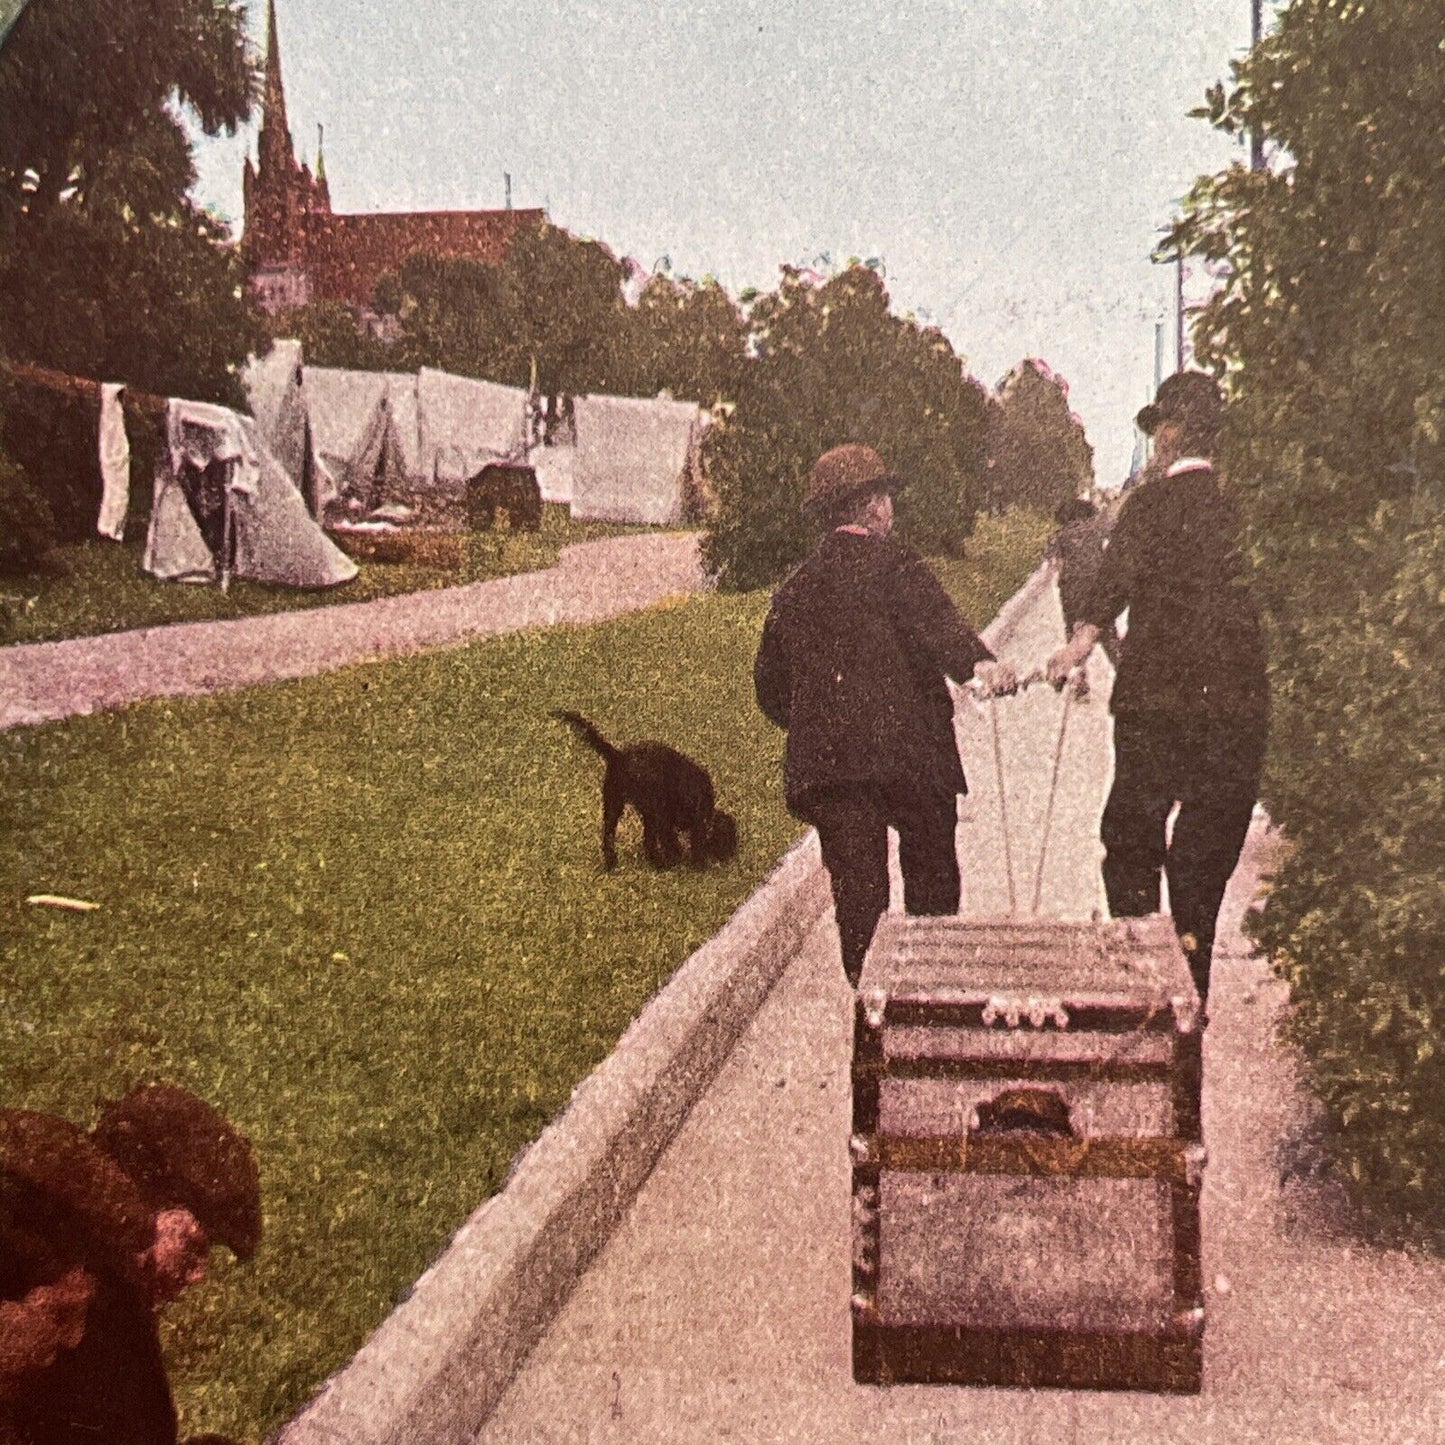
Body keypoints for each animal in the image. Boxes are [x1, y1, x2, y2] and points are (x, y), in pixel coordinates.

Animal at [549, 710, 739, 867]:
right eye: (728, 842)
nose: (731, 857)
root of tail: (618, 756)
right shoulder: (670, 817)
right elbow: (679, 840)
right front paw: (688, 861)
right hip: (636, 804)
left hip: (615, 800)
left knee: (614, 834)